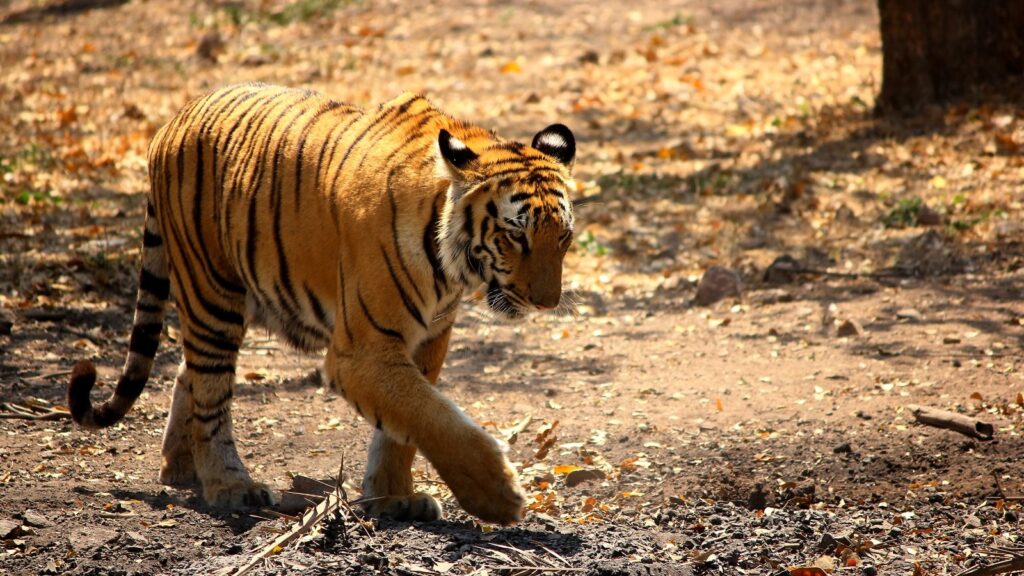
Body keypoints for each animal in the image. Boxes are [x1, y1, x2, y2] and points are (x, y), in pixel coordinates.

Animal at [66, 83, 576, 525]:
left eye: (563, 237)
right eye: (515, 235)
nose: (546, 302)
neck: (451, 266)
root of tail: (171, 122)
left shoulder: (429, 339)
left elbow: (404, 428)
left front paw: (395, 498)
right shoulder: (361, 352)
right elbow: (432, 416)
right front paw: (498, 496)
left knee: (185, 371)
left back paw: (179, 467)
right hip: (212, 290)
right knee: (210, 390)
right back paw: (230, 486)